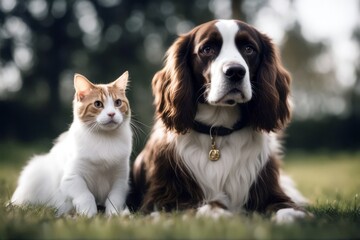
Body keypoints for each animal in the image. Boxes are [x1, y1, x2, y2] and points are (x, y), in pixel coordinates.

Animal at [10, 71, 133, 218]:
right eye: (98, 104)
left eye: (118, 103)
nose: (111, 113)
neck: (105, 138)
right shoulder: (72, 178)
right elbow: (86, 195)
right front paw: (89, 215)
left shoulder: (120, 180)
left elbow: (114, 199)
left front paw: (113, 216)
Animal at [128, 18, 308, 223]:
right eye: (207, 49)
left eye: (249, 49)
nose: (235, 71)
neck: (218, 129)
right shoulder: (160, 201)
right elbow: (202, 207)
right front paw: (221, 214)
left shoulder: (270, 192)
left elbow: (287, 207)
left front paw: (295, 217)